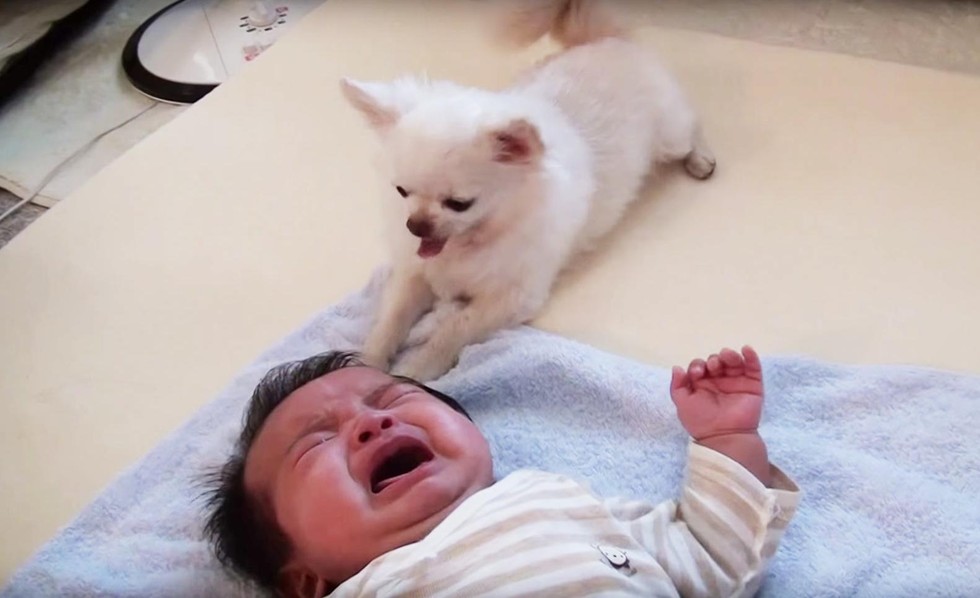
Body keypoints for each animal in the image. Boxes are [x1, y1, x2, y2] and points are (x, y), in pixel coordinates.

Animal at [338, 0, 712, 382]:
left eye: (459, 204)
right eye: (402, 191)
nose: (416, 225)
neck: (469, 245)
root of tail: (603, 39)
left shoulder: (512, 297)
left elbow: (454, 328)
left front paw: (415, 371)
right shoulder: (416, 272)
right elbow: (391, 319)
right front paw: (367, 363)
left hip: (670, 136)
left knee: (691, 129)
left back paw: (700, 159)